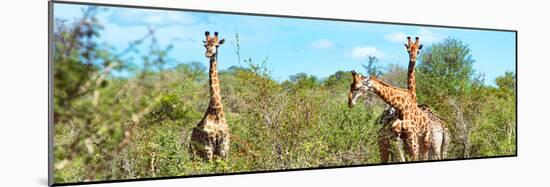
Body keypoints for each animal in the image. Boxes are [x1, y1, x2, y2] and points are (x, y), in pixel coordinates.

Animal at [190, 31, 231, 161]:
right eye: (205, 45)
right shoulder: (208, 147)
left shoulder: (224, 148)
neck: (215, 109)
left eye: (216, 45)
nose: (208, 53)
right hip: (194, 153)